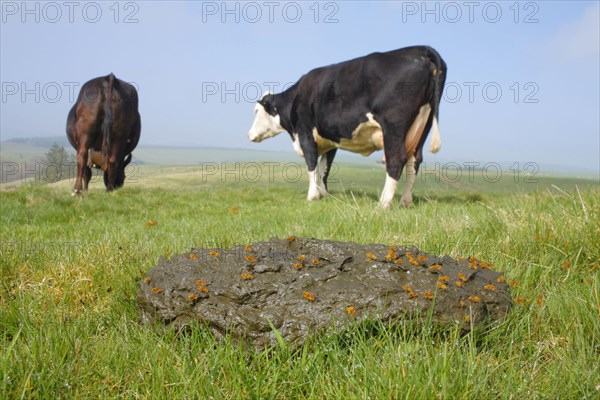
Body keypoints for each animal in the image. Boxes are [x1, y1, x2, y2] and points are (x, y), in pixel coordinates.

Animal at [247, 46, 446, 208]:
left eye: (256, 111)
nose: (249, 134)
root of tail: (423, 49)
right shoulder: (330, 142)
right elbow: (324, 168)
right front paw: (323, 194)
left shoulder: (305, 133)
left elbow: (312, 165)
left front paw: (312, 196)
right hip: (423, 127)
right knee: (414, 162)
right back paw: (405, 202)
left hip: (393, 126)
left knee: (396, 160)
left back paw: (383, 204)